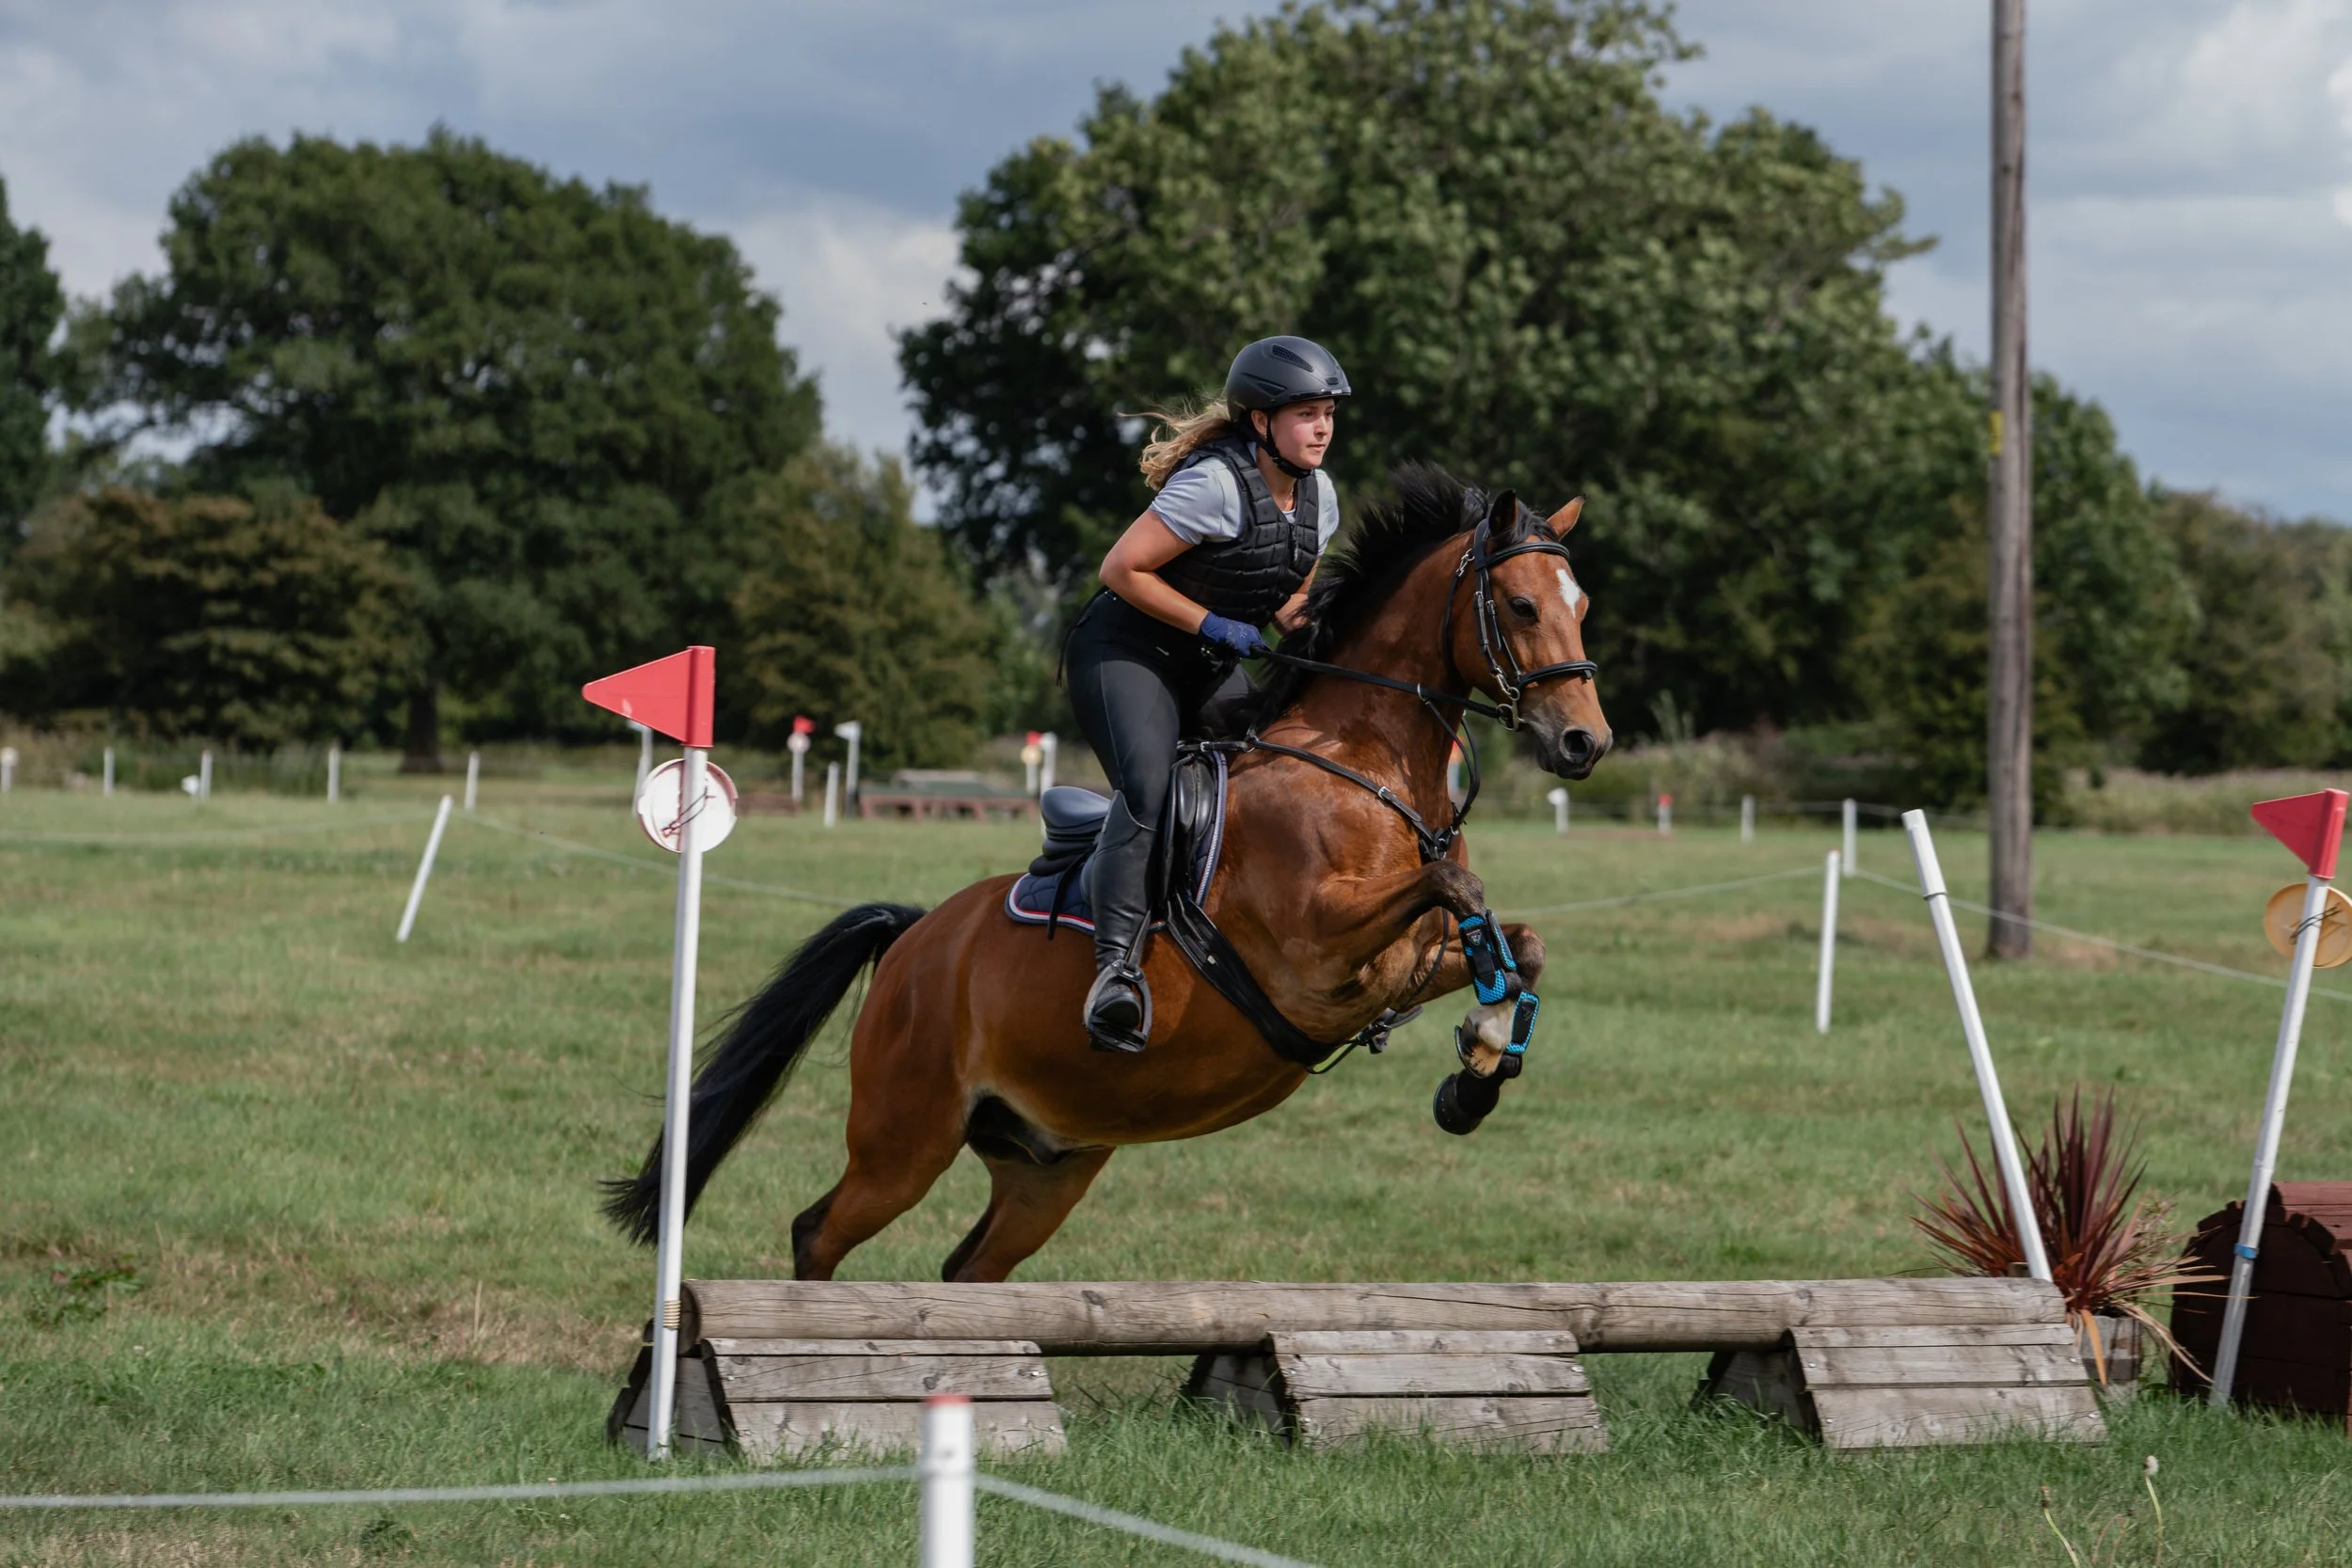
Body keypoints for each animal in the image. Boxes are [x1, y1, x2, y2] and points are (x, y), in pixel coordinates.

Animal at [605, 465, 1613, 1283]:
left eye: (1582, 605)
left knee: (970, 1264)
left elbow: (1519, 941)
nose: (1585, 742)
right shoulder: (1316, 956)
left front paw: (1476, 1070)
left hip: (1047, 1162)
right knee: (819, 1231)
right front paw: (1476, 1059)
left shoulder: (1397, 963)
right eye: (1521, 606)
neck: (1364, 765)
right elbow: (1460, 895)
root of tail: (916, 936)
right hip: (905, 1136)